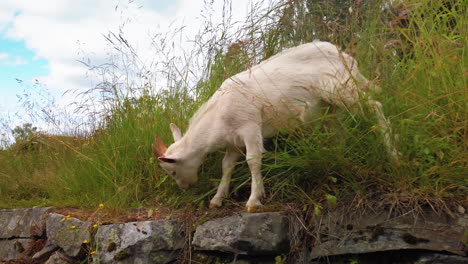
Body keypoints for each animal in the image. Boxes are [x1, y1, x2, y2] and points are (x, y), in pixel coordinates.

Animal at [153, 40, 398, 211]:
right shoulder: (233, 142)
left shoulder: (250, 126)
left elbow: (253, 160)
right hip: (330, 104)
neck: (218, 116)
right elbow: (226, 166)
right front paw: (217, 199)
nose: (186, 188)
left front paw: (254, 200)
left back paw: (393, 153)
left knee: (375, 106)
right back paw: (340, 157)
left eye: (172, 171)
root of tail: (344, 56)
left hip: (341, 88)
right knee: (339, 128)